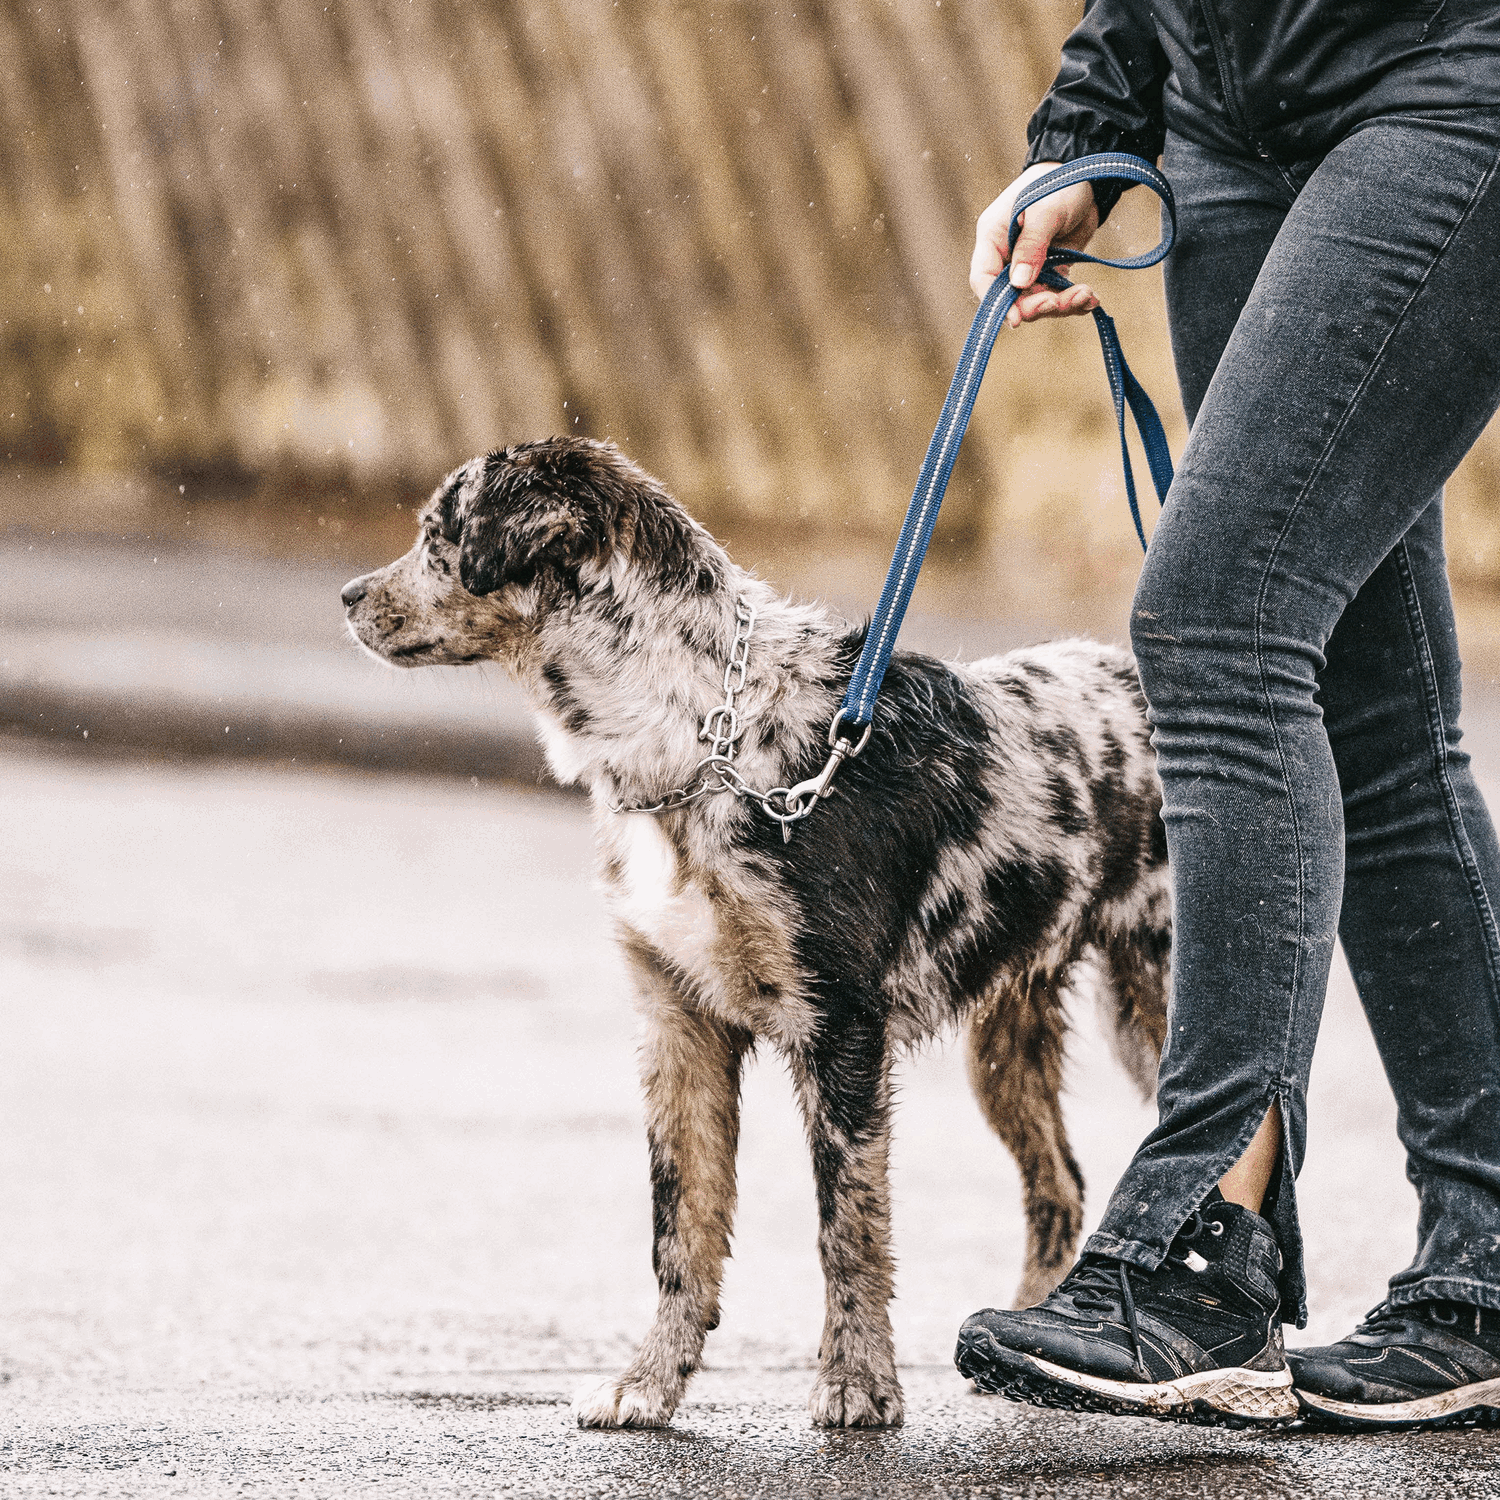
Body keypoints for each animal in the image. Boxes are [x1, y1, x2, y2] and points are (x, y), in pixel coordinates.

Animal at [343, 438, 1170, 1428]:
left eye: (440, 535)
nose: (348, 596)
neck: (709, 736)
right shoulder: (678, 1025)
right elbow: (681, 1229)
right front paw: (648, 1383)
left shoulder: (840, 1030)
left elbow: (847, 1228)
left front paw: (857, 1383)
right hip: (1005, 1039)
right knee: (1060, 1186)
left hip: (1157, 1012)